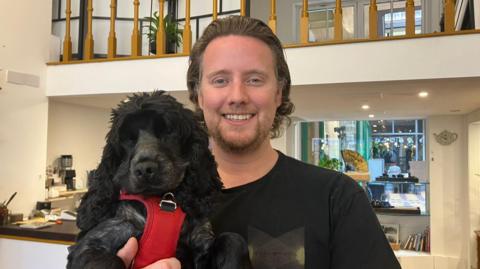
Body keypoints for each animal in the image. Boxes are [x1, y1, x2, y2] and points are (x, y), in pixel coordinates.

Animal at [67, 91, 251, 266]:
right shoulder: (99, 239)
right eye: (127, 139)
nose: (144, 169)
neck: (161, 200)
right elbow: (109, 260)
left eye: (168, 132)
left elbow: (233, 239)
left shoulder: (200, 240)